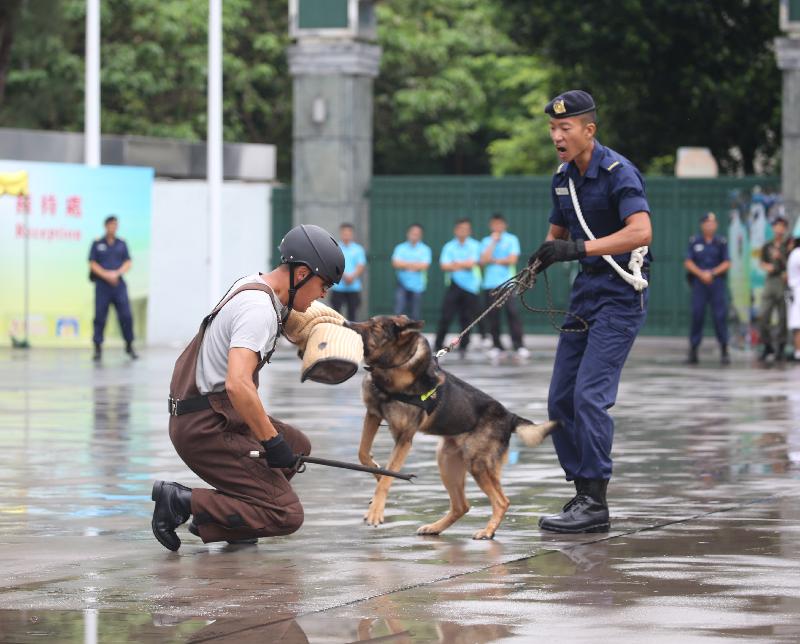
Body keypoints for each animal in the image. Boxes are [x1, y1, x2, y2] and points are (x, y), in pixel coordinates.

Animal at [344, 314, 556, 540]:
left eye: (375, 327)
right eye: (369, 320)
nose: (346, 323)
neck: (395, 367)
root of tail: (509, 416)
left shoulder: (404, 438)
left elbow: (386, 478)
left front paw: (376, 510)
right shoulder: (373, 414)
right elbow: (363, 454)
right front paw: (376, 471)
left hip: (477, 464)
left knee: (501, 501)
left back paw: (488, 531)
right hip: (447, 460)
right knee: (462, 506)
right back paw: (435, 527)